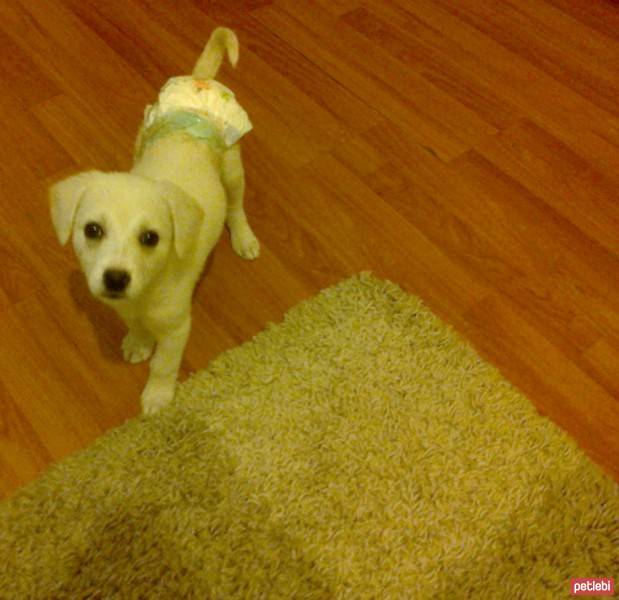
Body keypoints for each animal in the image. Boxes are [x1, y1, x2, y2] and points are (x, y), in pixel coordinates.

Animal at [49, 28, 260, 412]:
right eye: (92, 230)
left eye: (150, 238)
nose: (116, 279)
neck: (147, 289)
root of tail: (200, 80)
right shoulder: (126, 308)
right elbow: (136, 326)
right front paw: (138, 341)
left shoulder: (177, 328)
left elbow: (164, 363)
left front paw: (157, 396)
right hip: (142, 138)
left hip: (233, 168)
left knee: (236, 206)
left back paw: (244, 238)